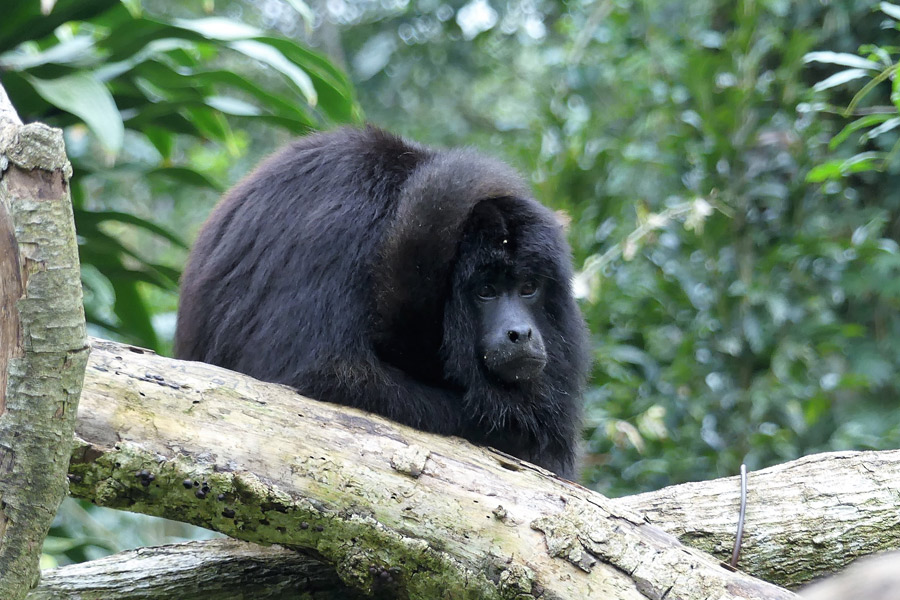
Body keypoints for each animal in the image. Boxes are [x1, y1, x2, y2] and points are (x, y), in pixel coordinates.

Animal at [174, 127, 592, 478]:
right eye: (485, 291)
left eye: (528, 288)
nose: (520, 332)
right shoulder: (343, 227)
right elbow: (323, 374)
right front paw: (516, 429)